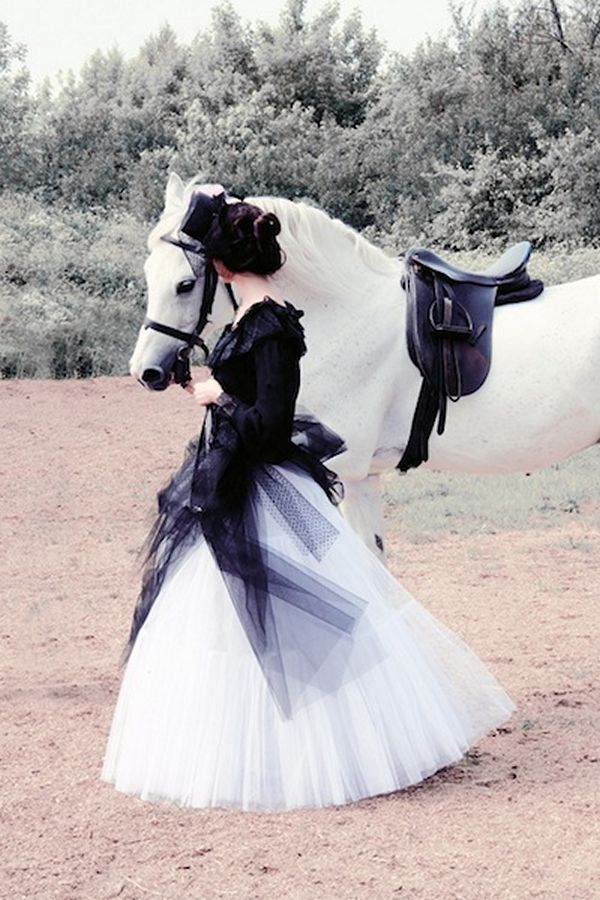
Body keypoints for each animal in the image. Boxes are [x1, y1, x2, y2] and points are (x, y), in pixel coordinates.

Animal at [131, 175, 600, 552]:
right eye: (148, 273)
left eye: (185, 284)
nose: (146, 371)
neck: (341, 313)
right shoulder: (363, 479)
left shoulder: (346, 475)